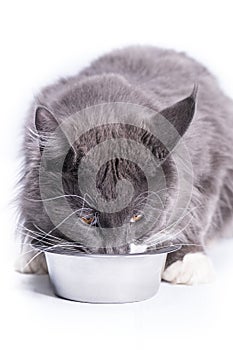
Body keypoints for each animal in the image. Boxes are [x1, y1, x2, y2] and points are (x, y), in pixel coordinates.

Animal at [15, 45, 233, 284]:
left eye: (136, 216)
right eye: (87, 218)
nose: (114, 252)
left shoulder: (211, 164)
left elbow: (196, 212)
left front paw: (188, 259)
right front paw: (36, 254)